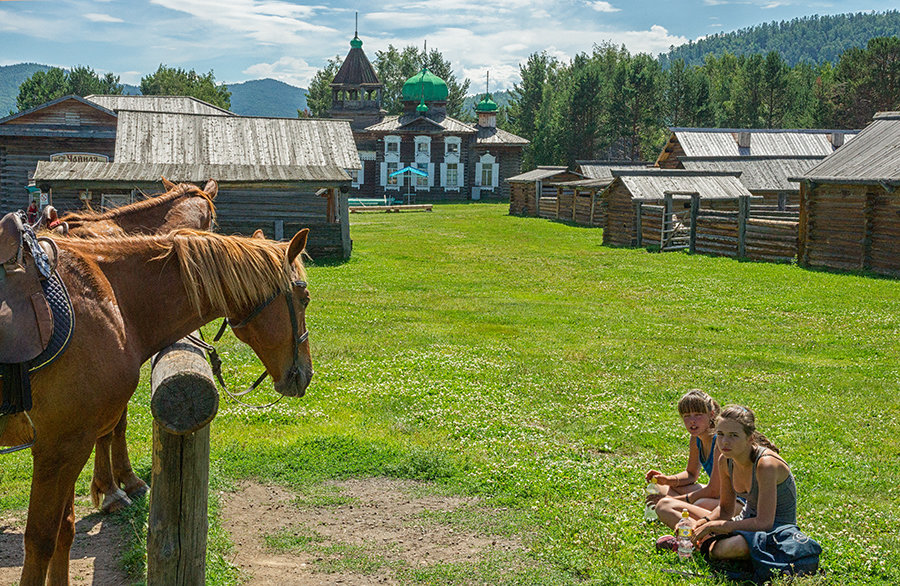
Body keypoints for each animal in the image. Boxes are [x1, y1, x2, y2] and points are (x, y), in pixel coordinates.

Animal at [0, 226, 312, 580]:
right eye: (304, 299)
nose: (305, 373)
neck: (111, 300)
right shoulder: (59, 447)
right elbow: (41, 542)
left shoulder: (72, 445)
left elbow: (64, 531)